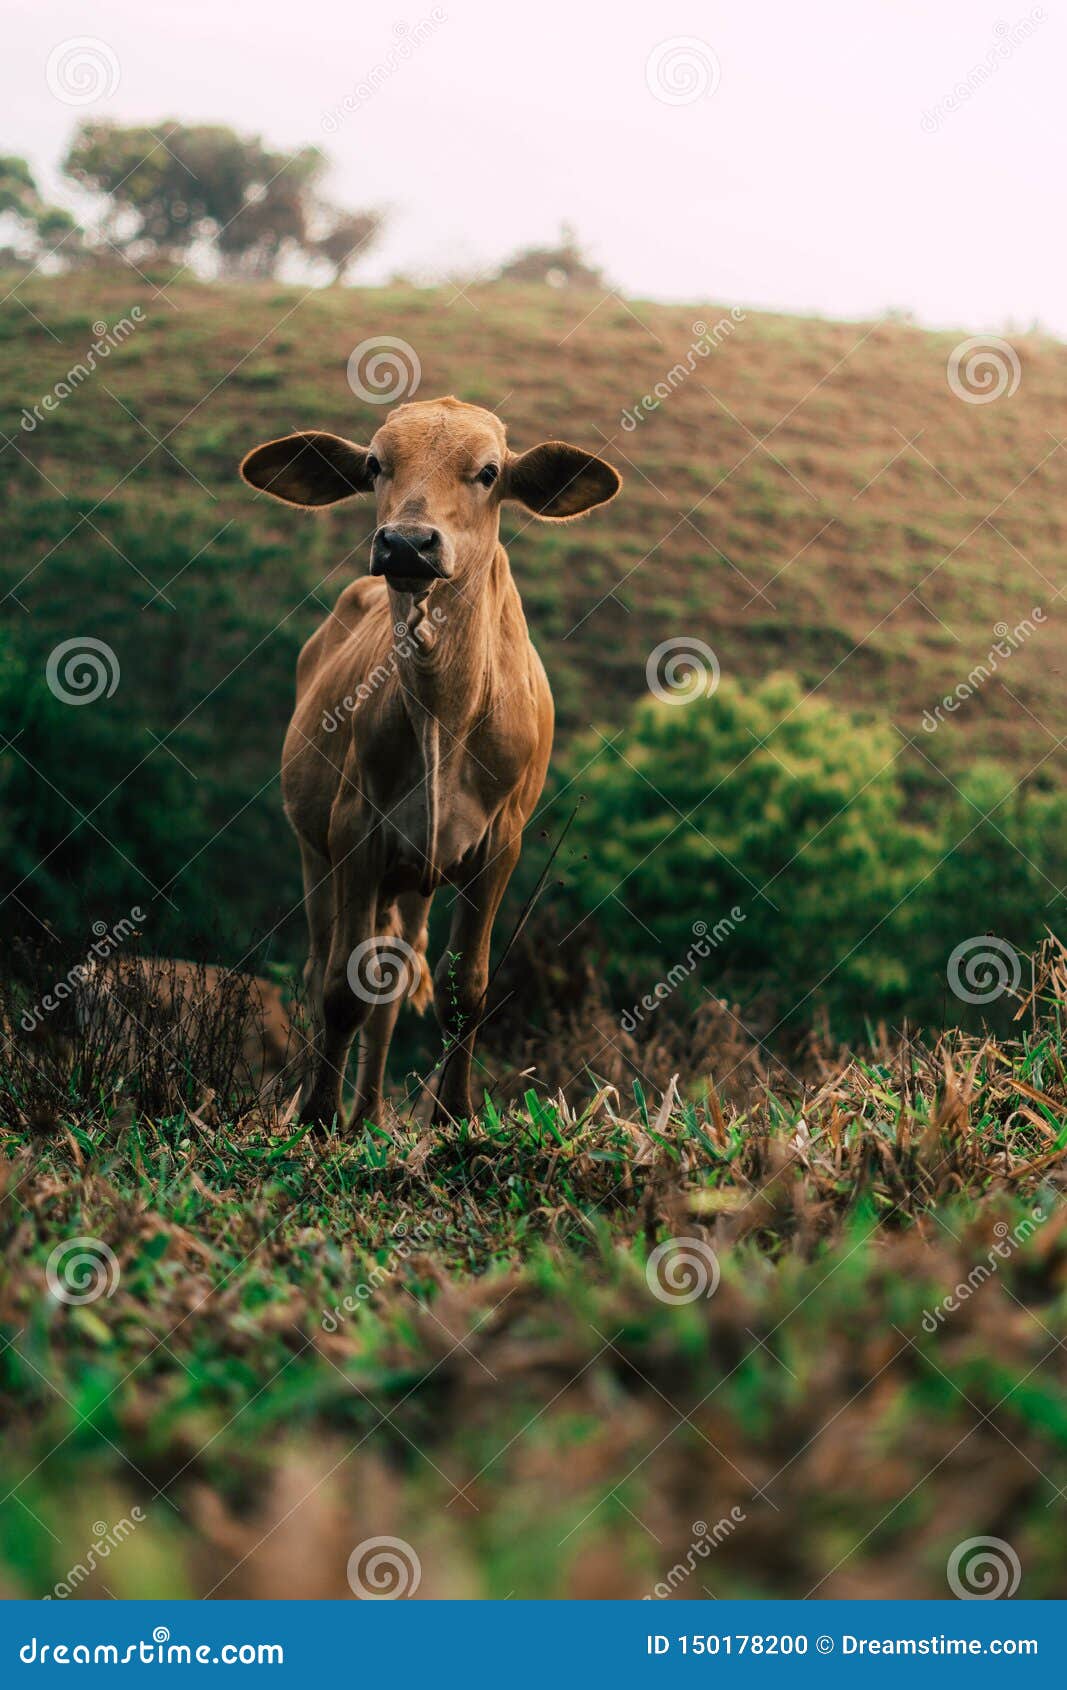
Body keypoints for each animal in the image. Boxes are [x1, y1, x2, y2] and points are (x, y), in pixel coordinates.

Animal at [243, 393, 622, 1128]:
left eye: (489, 472)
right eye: (374, 464)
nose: (406, 544)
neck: (445, 714)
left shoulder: (501, 843)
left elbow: (464, 988)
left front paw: (453, 1116)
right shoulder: (354, 831)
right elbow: (340, 988)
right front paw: (317, 1118)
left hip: (412, 879)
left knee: (393, 979)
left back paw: (369, 1115)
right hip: (315, 852)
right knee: (325, 966)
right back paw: (329, 1104)